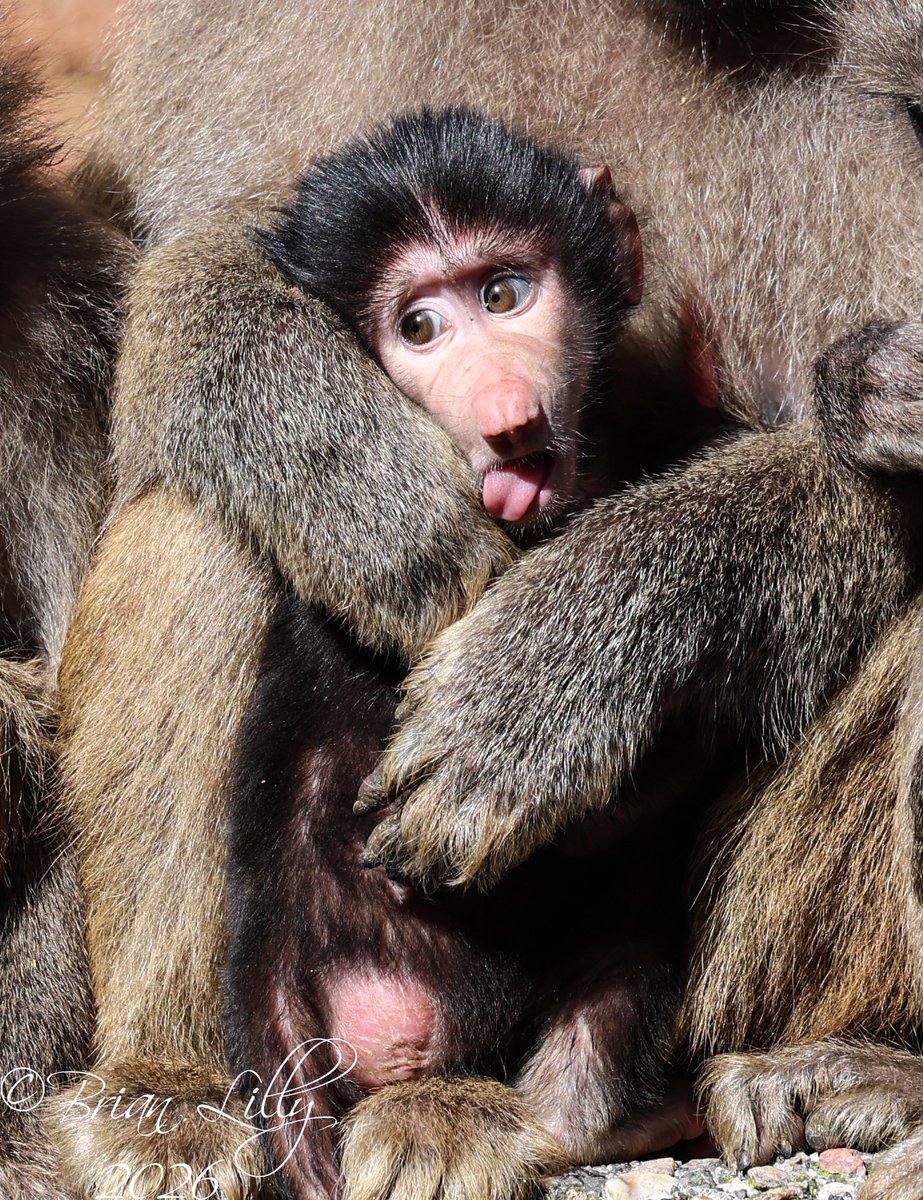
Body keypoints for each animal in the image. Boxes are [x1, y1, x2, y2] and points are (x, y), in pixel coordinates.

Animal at [48, 0, 923, 1196]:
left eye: (507, 296)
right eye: (420, 327)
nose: (499, 402)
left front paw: (556, 673)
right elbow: (190, 261)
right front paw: (345, 467)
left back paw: (840, 1070)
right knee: (204, 505)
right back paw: (174, 1092)